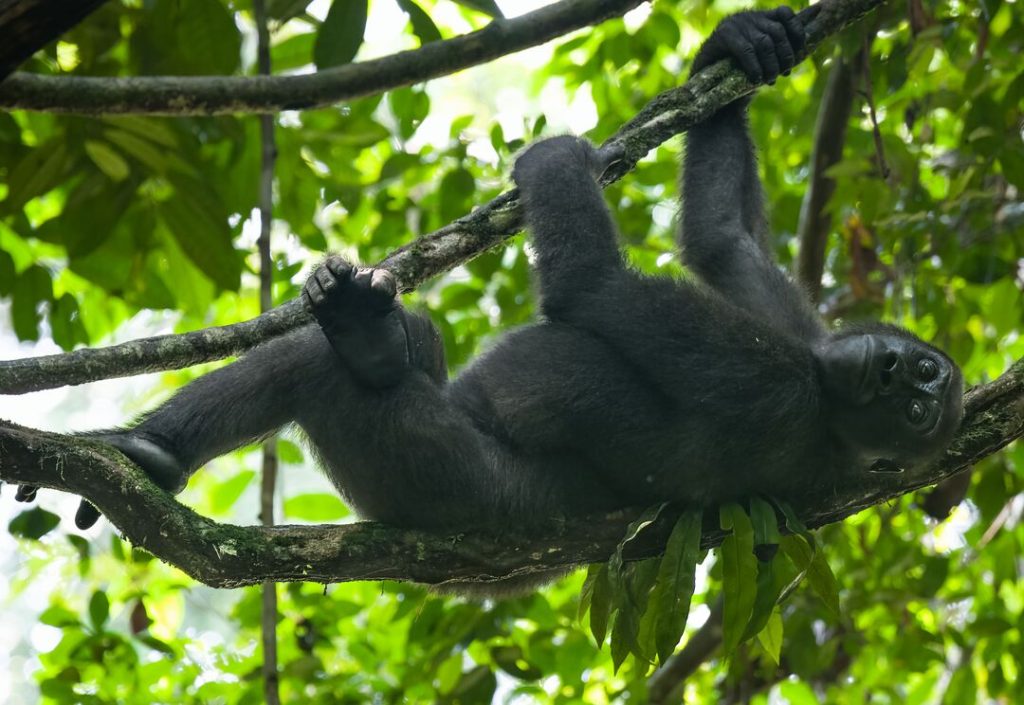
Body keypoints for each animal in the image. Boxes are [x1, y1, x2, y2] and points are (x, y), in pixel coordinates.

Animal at [16, 5, 962, 557]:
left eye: (922, 408)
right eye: (919, 373)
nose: (895, 377)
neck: (832, 393)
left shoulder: (776, 388)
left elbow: (592, 291)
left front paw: (557, 155)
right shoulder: (804, 330)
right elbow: (721, 241)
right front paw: (736, 48)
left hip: (432, 484)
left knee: (336, 382)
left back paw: (153, 455)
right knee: (400, 346)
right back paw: (364, 337)